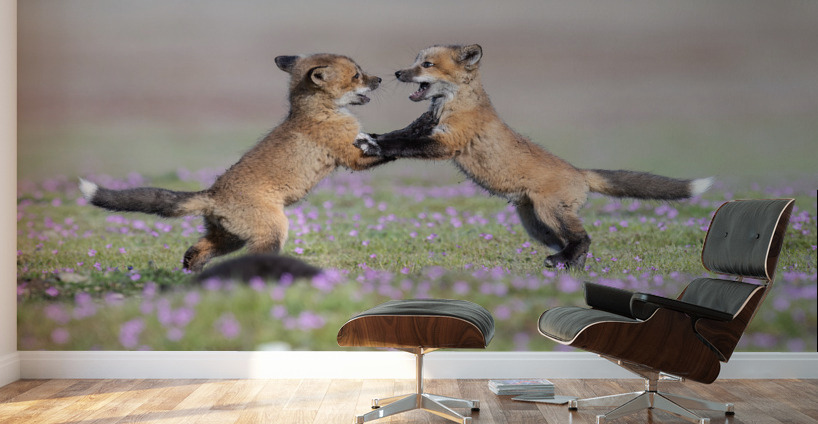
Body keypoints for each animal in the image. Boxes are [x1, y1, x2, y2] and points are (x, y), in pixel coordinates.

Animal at [80, 53, 391, 272]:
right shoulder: (350, 156)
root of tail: (212, 195)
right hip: (271, 232)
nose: (379, 80)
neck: (318, 112)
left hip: (230, 238)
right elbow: (382, 152)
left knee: (194, 252)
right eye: (357, 75)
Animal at [355, 44, 713, 269]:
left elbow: (402, 146)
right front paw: (371, 140)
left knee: (584, 238)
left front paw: (376, 148)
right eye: (415, 61)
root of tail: (580, 172)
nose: (397, 73)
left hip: (549, 212)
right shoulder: (422, 127)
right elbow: (395, 136)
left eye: (426, 65)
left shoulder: (447, 143)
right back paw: (569, 267)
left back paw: (564, 262)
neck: (450, 105)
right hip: (537, 226)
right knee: (574, 245)